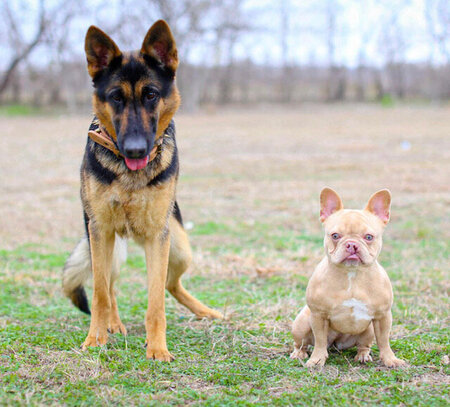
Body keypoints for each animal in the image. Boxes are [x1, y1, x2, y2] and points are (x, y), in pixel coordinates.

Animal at [62, 20, 224, 362]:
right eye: (116, 97)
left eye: (151, 95)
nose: (136, 150)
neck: (129, 176)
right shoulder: (100, 230)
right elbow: (99, 293)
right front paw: (95, 339)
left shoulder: (157, 238)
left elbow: (156, 301)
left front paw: (157, 347)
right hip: (108, 247)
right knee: (109, 286)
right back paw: (113, 324)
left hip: (180, 249)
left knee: (171, 285)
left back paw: (205, 311)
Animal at [290, 188, 406, 370]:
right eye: (335, 235)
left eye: (369, 237)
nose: (352, 244)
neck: (352, 274)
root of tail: (336, 343)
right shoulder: (318, 316)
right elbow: (320, 341)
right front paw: (317, 360)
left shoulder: (383, 316)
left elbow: (384, 341)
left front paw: (390, 359)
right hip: (301, 323)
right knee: (302, 342)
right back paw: (299, 353)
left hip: (369, 330)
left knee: (364, 345)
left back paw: (363, 356)